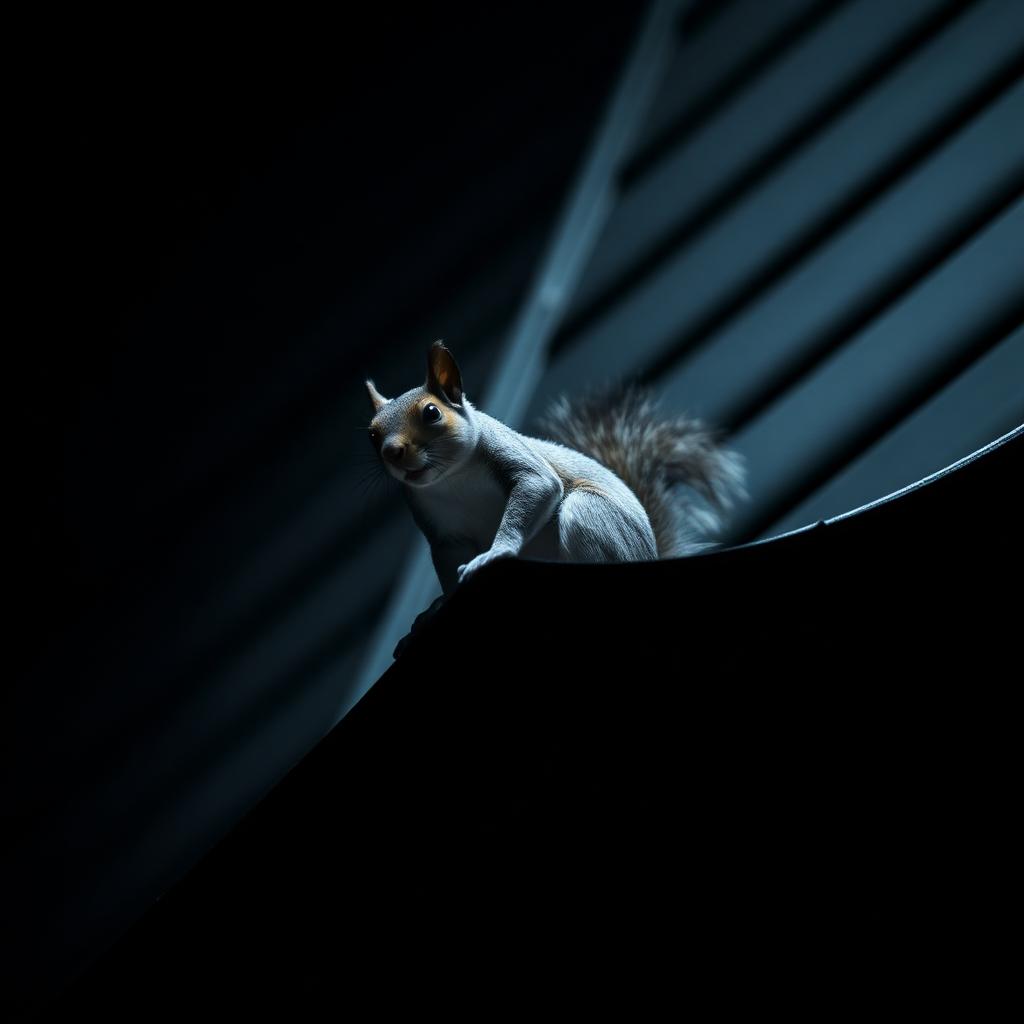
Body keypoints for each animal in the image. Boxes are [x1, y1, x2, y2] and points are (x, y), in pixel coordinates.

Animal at [367, 341, 744, 649]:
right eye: (372, 434)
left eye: (431, 412)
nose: (392, 452)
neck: (451, 479)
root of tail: (648, 555)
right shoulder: (443, 533)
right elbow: (447, 568)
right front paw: (439, 606)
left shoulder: (511, 455)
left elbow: (537, 487)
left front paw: (496, 552)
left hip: (592, 516)